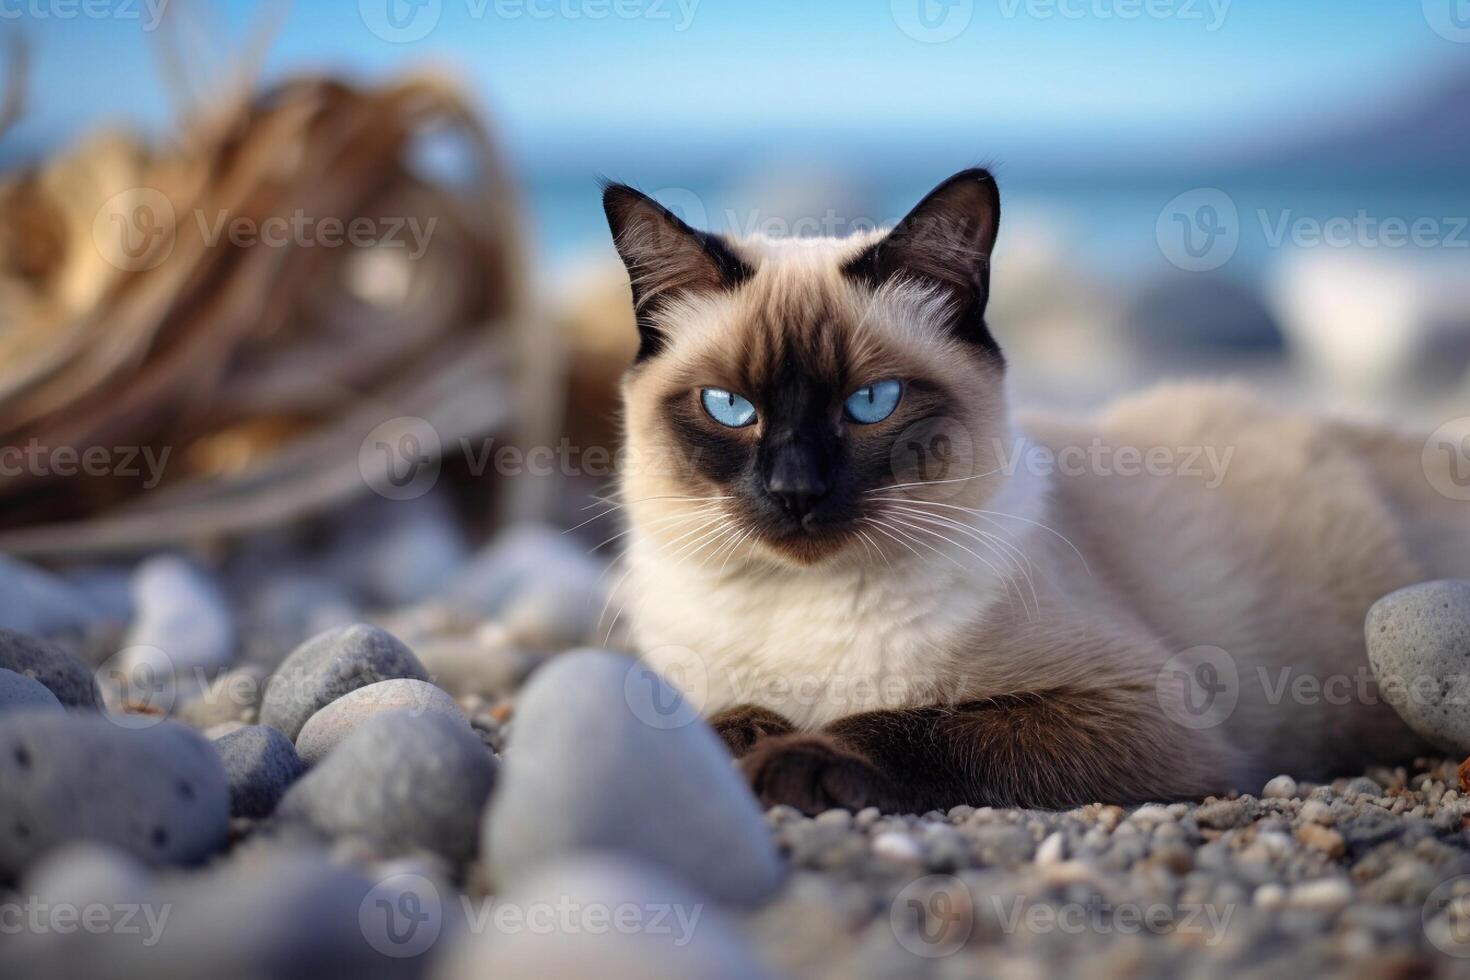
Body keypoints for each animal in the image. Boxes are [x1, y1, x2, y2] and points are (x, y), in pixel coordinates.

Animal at [599, 170, 1470, 822]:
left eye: (871, 403)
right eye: (730, 408)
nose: (795, 490)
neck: (796, 610)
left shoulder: (1136, 709)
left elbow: (915, 725)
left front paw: (794, 761)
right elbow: (714, 720)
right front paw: (746, 739)